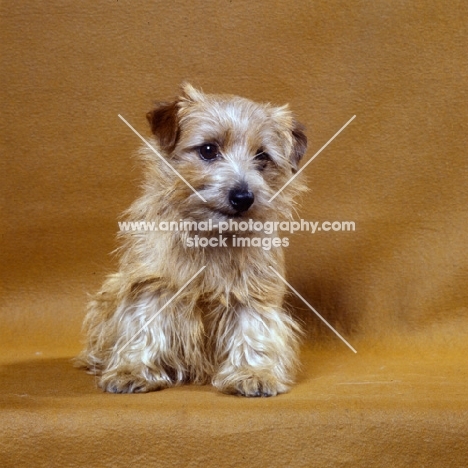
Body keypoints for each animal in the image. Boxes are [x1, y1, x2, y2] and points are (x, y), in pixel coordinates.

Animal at [77, 83, 308, 394]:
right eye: (208, 150)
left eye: (262, 157)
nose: (243, 196)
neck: (210, 236)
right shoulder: (151, 284)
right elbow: (143, 325)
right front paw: (132, 370)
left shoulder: (253, 291)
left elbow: (254, 328)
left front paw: (253, 373)